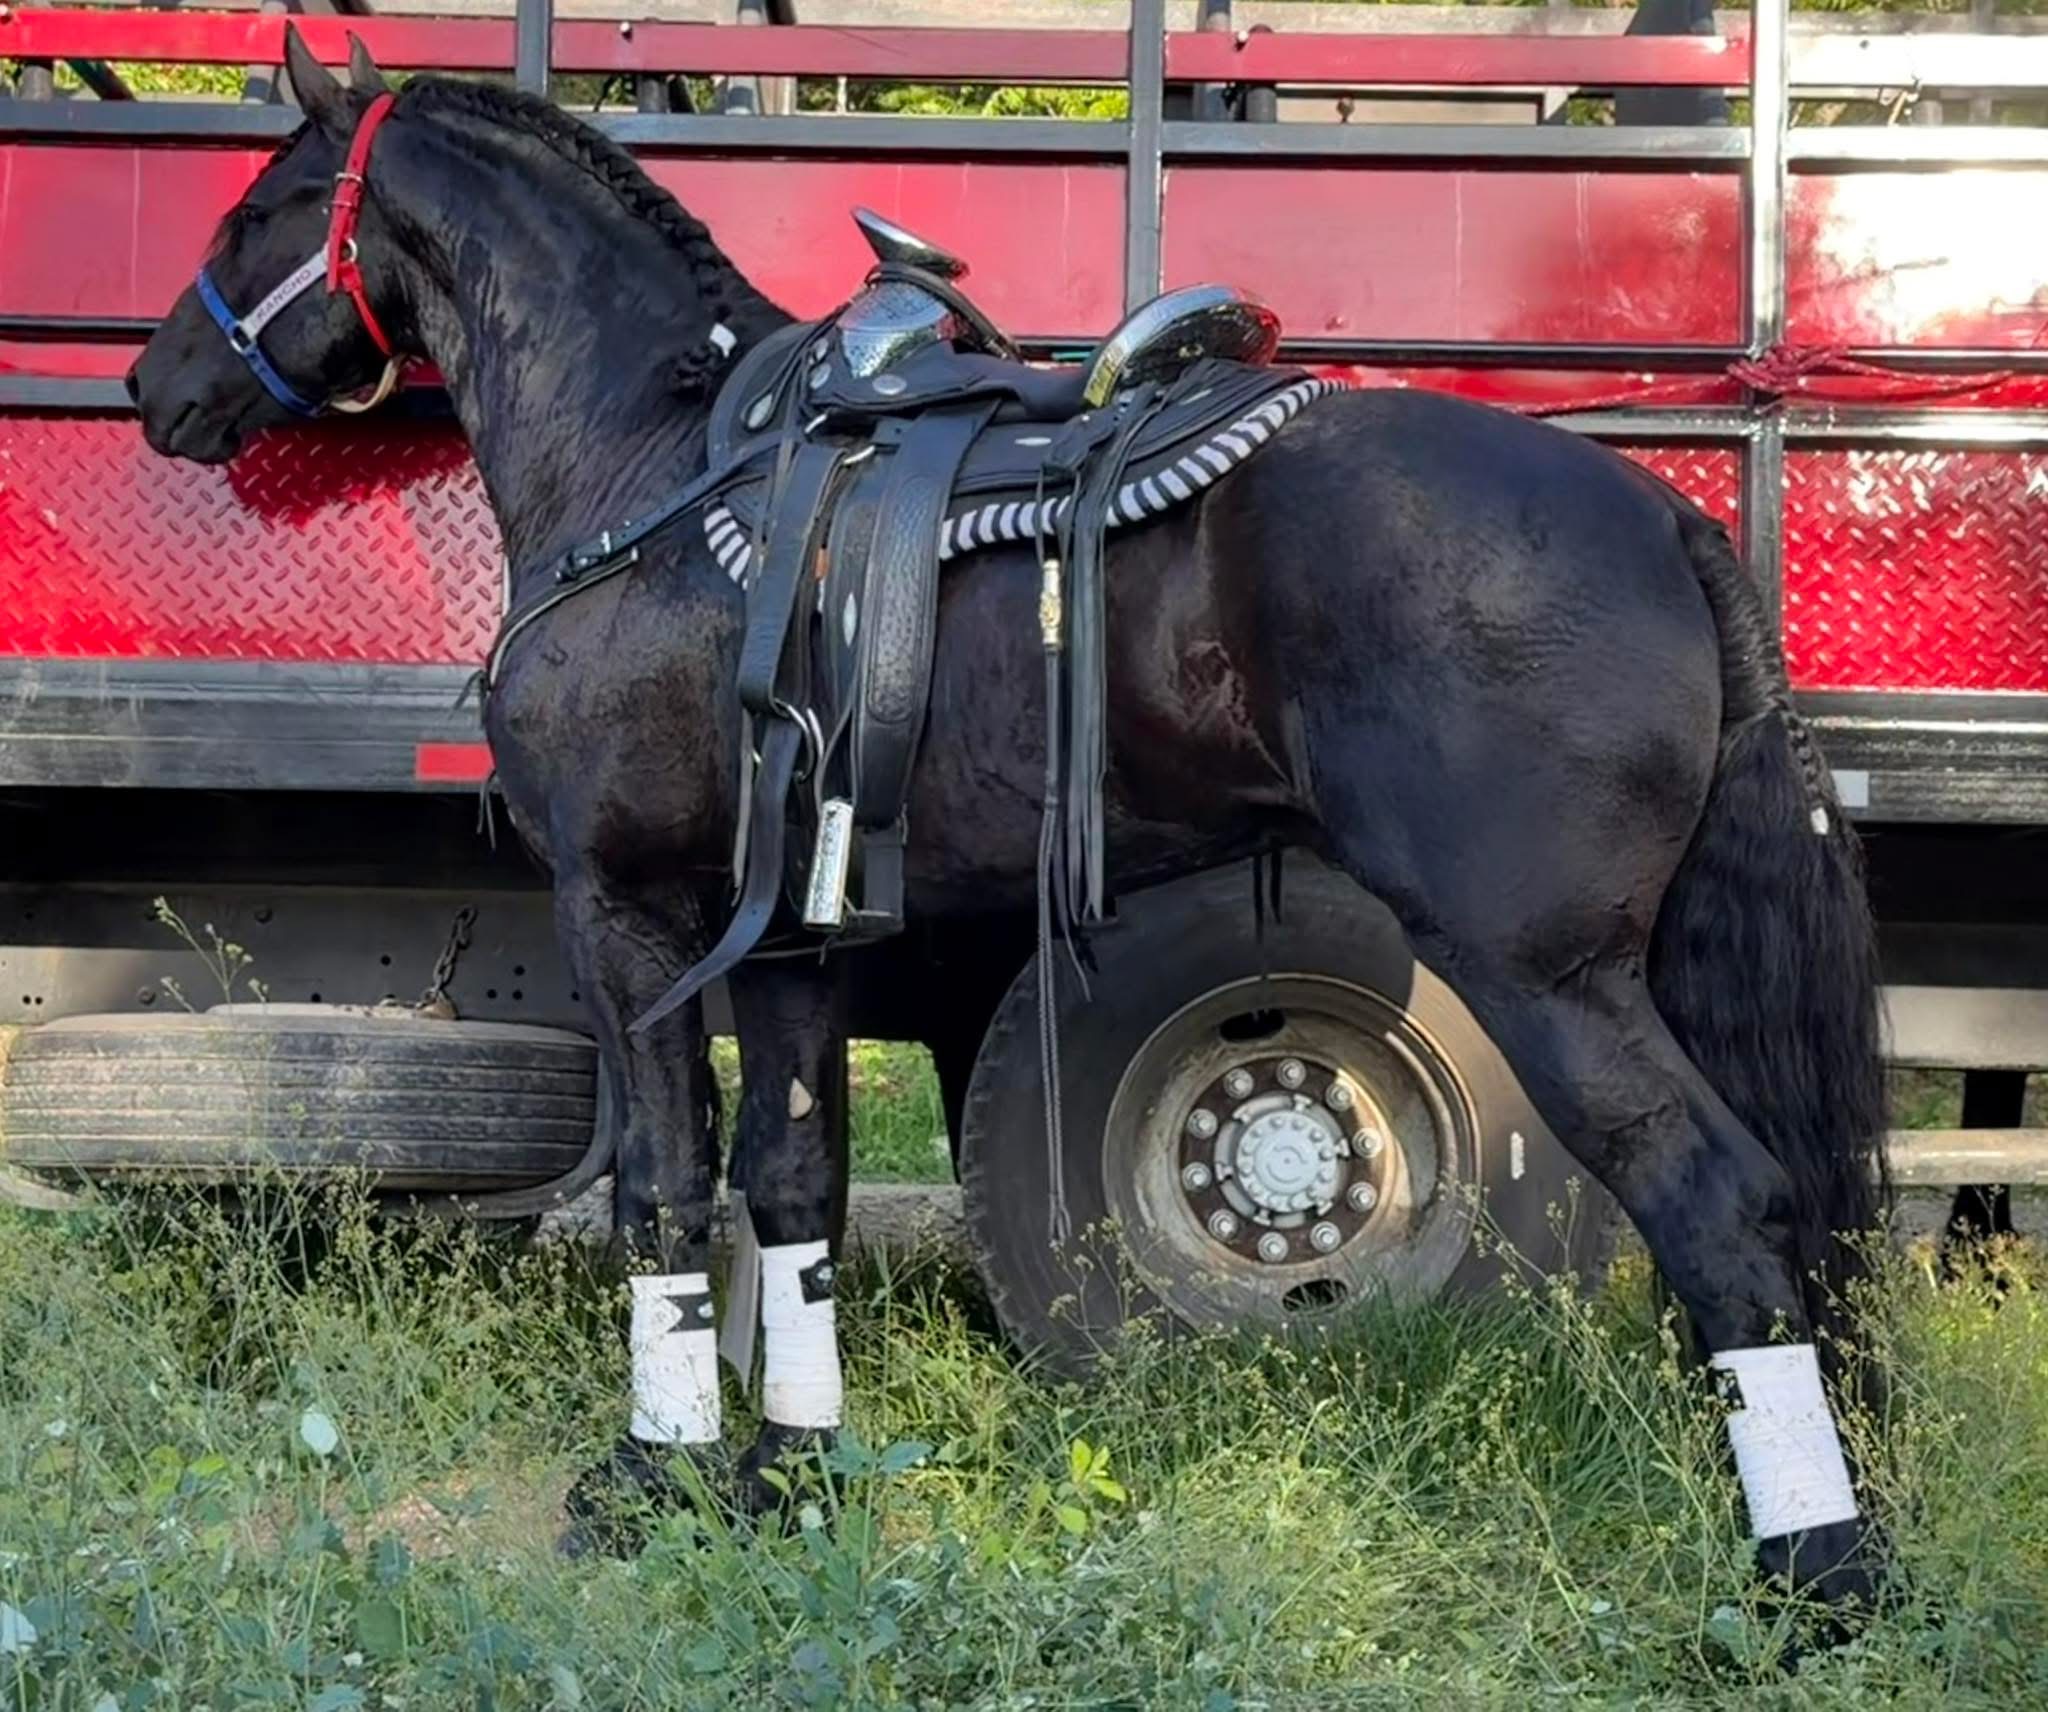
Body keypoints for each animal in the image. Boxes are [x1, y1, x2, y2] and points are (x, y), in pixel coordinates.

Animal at [129, 29, 1888, 1607]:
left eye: (255, 210)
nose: (153, 383)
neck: (657, 466)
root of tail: (1658, 514)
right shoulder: (787, 945)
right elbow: (794, 1187)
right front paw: (793, 1477)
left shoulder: (626, 913)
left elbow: (661, 1187)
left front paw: (652, 1482)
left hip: (1548, 976)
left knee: (1719, 1202)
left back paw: (1817, 1577)